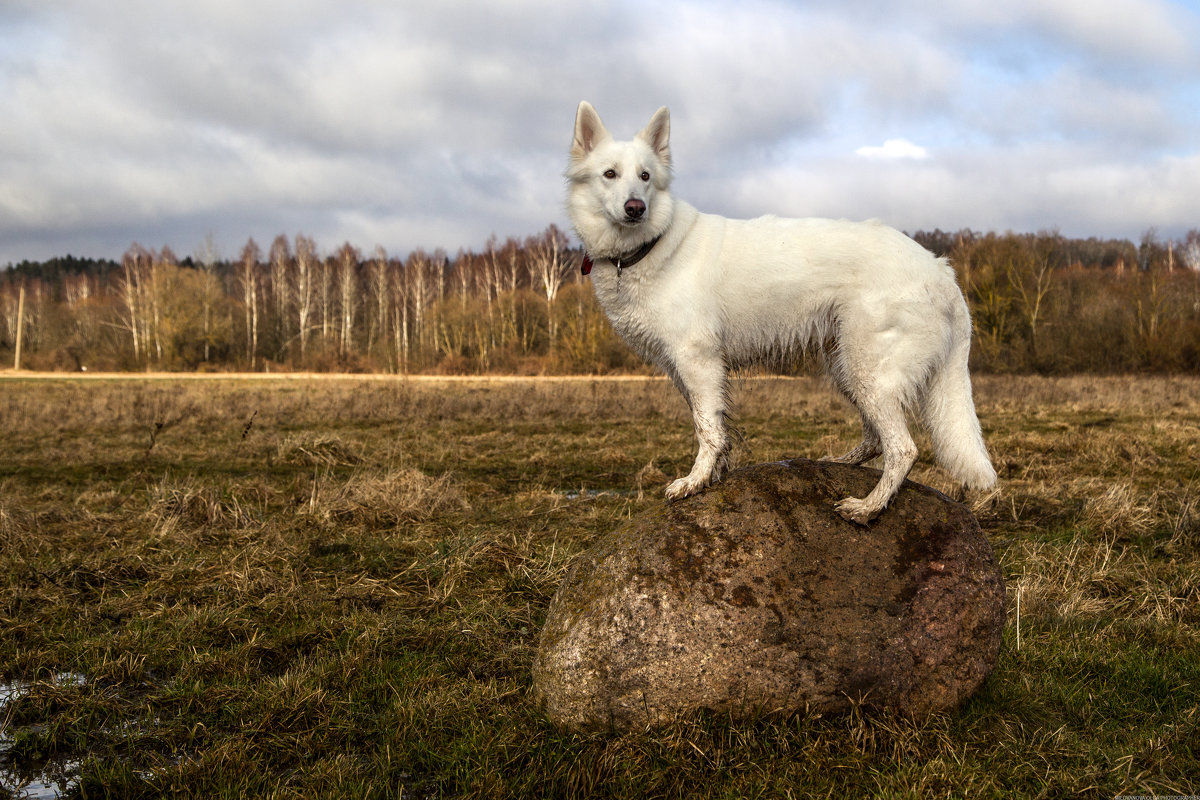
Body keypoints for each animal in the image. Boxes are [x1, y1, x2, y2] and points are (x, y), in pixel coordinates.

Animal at [566, 101, 998, 525]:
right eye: (610, 174)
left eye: (645, 176)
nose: (635, 208)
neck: (649, 245)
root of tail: (940, 269)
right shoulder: (686, 372)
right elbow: (715, 426)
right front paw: (716, 475)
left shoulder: (698, 362)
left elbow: (707, 430)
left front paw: (694, 481)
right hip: (846, 368)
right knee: (878, 439)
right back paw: (842, 464)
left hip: (870, 373)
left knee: (903, 449)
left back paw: (868, 508)